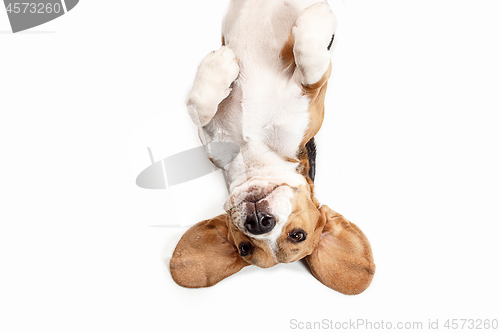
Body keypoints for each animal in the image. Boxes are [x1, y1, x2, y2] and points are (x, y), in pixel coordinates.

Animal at [169, 0, 376, 294]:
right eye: (245, 248)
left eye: (297, 235)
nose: (259, 223)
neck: (255, 154)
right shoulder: (210, 139)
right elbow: (198, 108)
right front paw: (218, 66)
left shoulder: (311, 97)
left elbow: (311, 65)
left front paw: (316, 18)